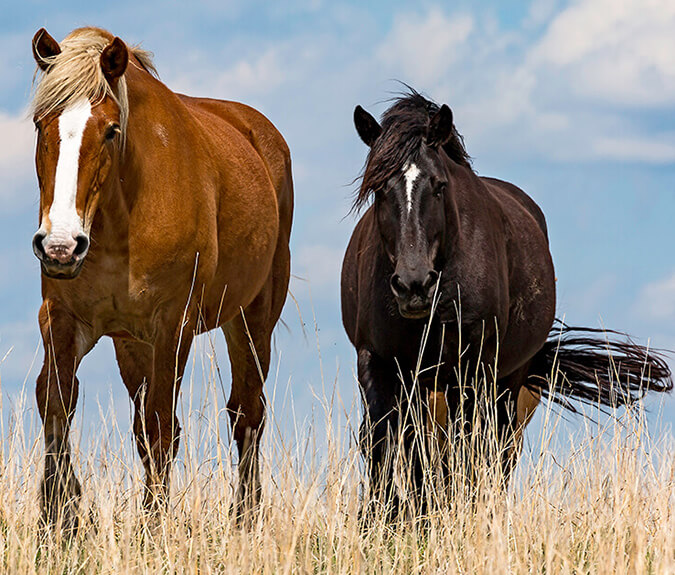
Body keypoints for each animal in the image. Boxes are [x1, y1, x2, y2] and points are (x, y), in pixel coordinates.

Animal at [31, 28, 294, 528]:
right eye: (41, 124)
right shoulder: (64, 318)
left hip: (252, 317)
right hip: (132, 344)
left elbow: (160, 426)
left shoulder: (173, 324)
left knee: (247, 412)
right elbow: (56, 404)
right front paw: (60, 519)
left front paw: (153, 527)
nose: (60, 245)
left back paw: (245, 519)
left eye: (111, 130)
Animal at [340, 91, 672, 512]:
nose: (414, 284)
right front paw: (388, 518)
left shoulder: (471, 368)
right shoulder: (380, 363)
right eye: (380, 188)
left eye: (438, 185)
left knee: (491, 450)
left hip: (504, 381)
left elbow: (464, 451)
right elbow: (384, 446)